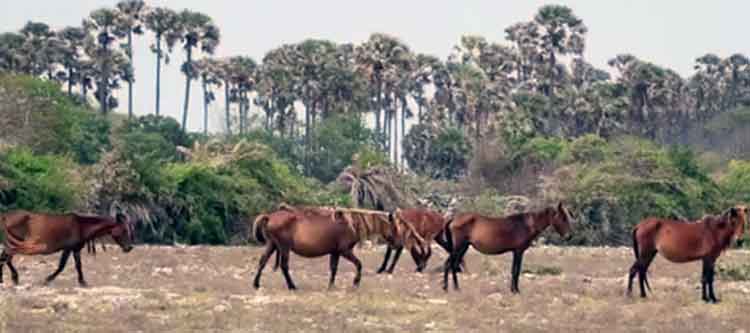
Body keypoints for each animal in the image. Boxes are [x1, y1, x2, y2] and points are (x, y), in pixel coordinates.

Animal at [0, 210, 135, 286]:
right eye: (124, 230)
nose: (129, 248)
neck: (81, 226)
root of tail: (5, 216)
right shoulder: (68, 248)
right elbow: (62, 266)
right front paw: (47, 279)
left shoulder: (75, 249)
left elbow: (78, 265)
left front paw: (82, 282)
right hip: (17, 243)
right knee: (6, 257)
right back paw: (14, 277)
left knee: (5, 257)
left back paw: (8, 278)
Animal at [253, 206, 426, 290]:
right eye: (395, 227)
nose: (398, 244)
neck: (352, 223)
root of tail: (269, 217)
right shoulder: (344, 251)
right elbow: (359, 264)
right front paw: (356, 282)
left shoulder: (335, 252)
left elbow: (334, 268)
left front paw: (331, 285)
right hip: (284, 247)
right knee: (284, 266)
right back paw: (292, 286)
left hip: (272, 245)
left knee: (262, 261)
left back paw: (256, 284)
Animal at [440, 200, 576, 290]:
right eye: (563, 218)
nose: (569, 236)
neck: (526, 224)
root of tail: (453, 219)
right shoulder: (519, 251)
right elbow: (516, 271)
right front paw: (516, 291)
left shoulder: (515, 251)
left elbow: (514, 270)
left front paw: (513, 289)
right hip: (458, 247)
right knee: (449, 264)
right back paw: (450, 288)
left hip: (463, 247)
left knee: (452, 264)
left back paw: (453, 288)